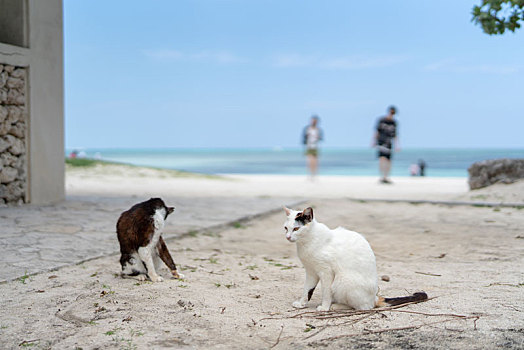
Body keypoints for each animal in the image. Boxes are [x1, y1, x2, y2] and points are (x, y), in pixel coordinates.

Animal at [282, 206, 426, 310]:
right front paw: (301, 303)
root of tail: (374, 298)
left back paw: (336, 306)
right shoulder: (311, 271)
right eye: (286, 228)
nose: (287, 237)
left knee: (362, 307)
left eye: (296, 229)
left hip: (342, 281)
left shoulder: (326, 272)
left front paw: (324, 307)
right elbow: (307, 290)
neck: (306, 242)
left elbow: (326, 292)